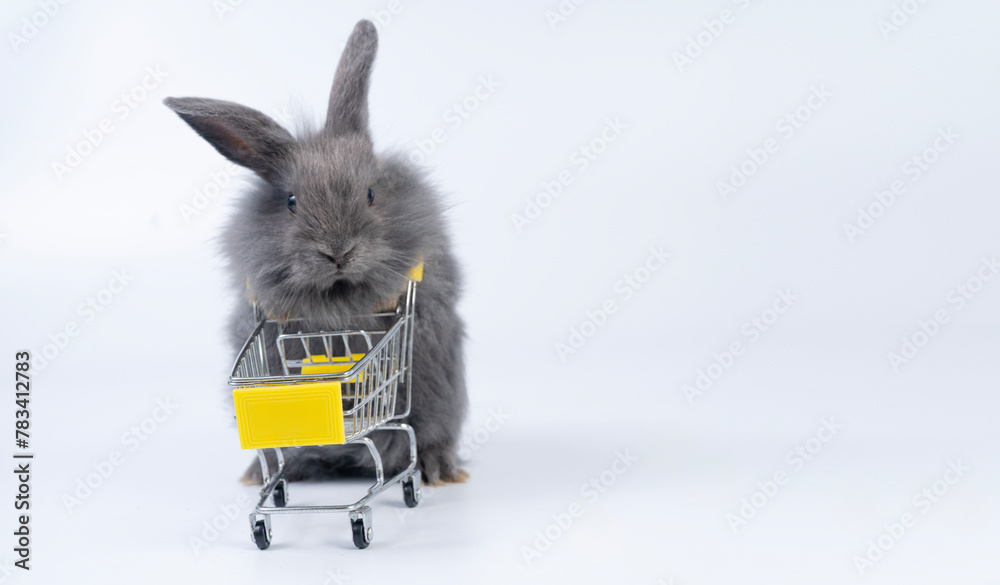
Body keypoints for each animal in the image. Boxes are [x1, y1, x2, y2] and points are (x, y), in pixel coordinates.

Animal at [165, 19, 468, 484]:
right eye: (291, 202)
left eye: (371, 194)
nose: (338, 253)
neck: (338, 290)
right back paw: (266, 472)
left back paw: (436, 469)